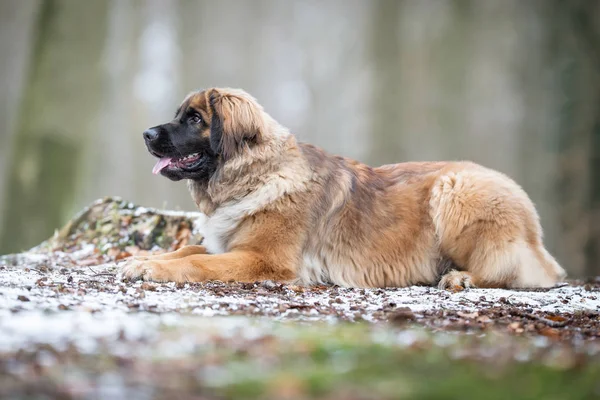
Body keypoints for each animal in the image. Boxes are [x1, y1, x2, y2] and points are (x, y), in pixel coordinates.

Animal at [120, 87, 568, 290]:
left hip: (455, 190)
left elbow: (197, 262)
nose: (145, 135)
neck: (256, 174)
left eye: (195, 119)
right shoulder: (228, 244)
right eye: (181, 115)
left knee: (508, 270)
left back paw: (462, 279)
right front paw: (144, 258)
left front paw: (149, 267)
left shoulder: (263, 259)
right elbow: (187, 250)